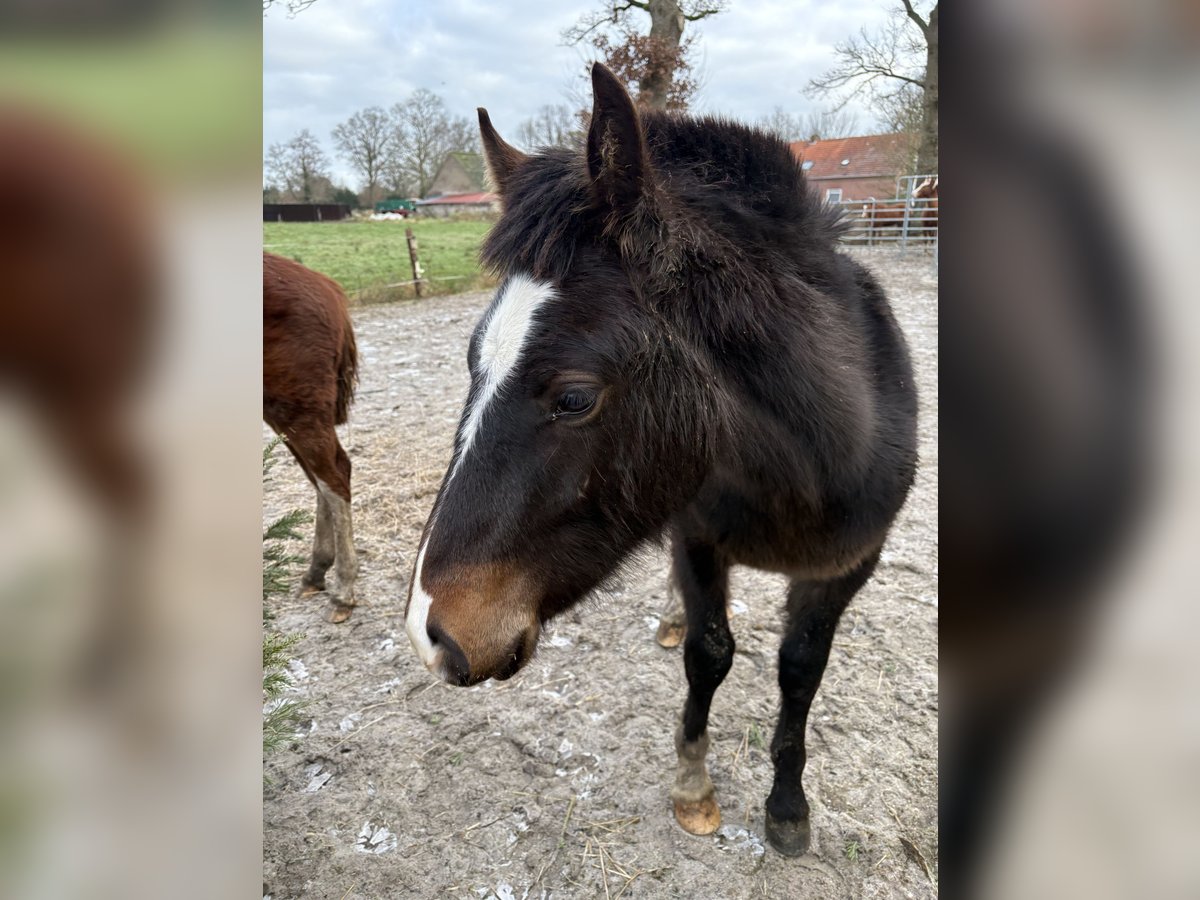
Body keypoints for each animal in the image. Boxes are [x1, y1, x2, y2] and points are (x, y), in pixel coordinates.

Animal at [398, 65, 912, 859]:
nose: (433, 634)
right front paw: (694, 786)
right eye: (472, 362)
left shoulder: (848, 566)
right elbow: (709, 653)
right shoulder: (697, 539)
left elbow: (800, 671)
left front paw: (787, 806)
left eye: (574, 397)